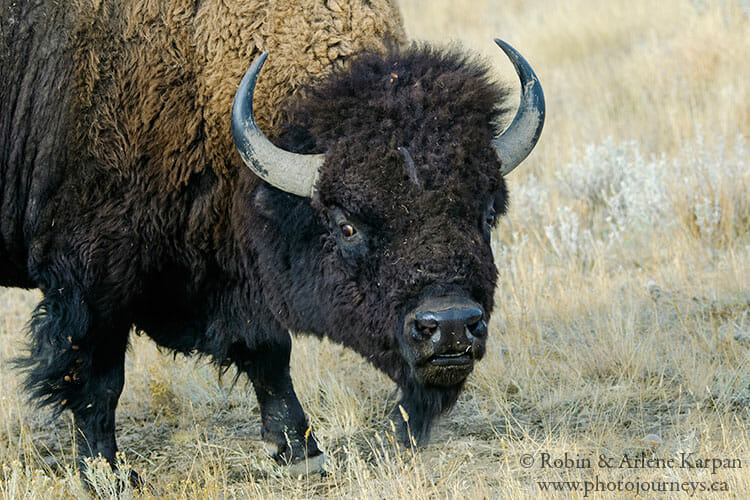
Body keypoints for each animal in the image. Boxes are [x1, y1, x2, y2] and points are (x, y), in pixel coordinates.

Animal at [0, 0, 548, 482]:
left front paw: (302, 453)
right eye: (347, 225)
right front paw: (109, 474)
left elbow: (267, 351)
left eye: (486, 214)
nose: (451, 326)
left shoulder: (237, 276)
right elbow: (97, 380)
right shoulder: (92, 279)